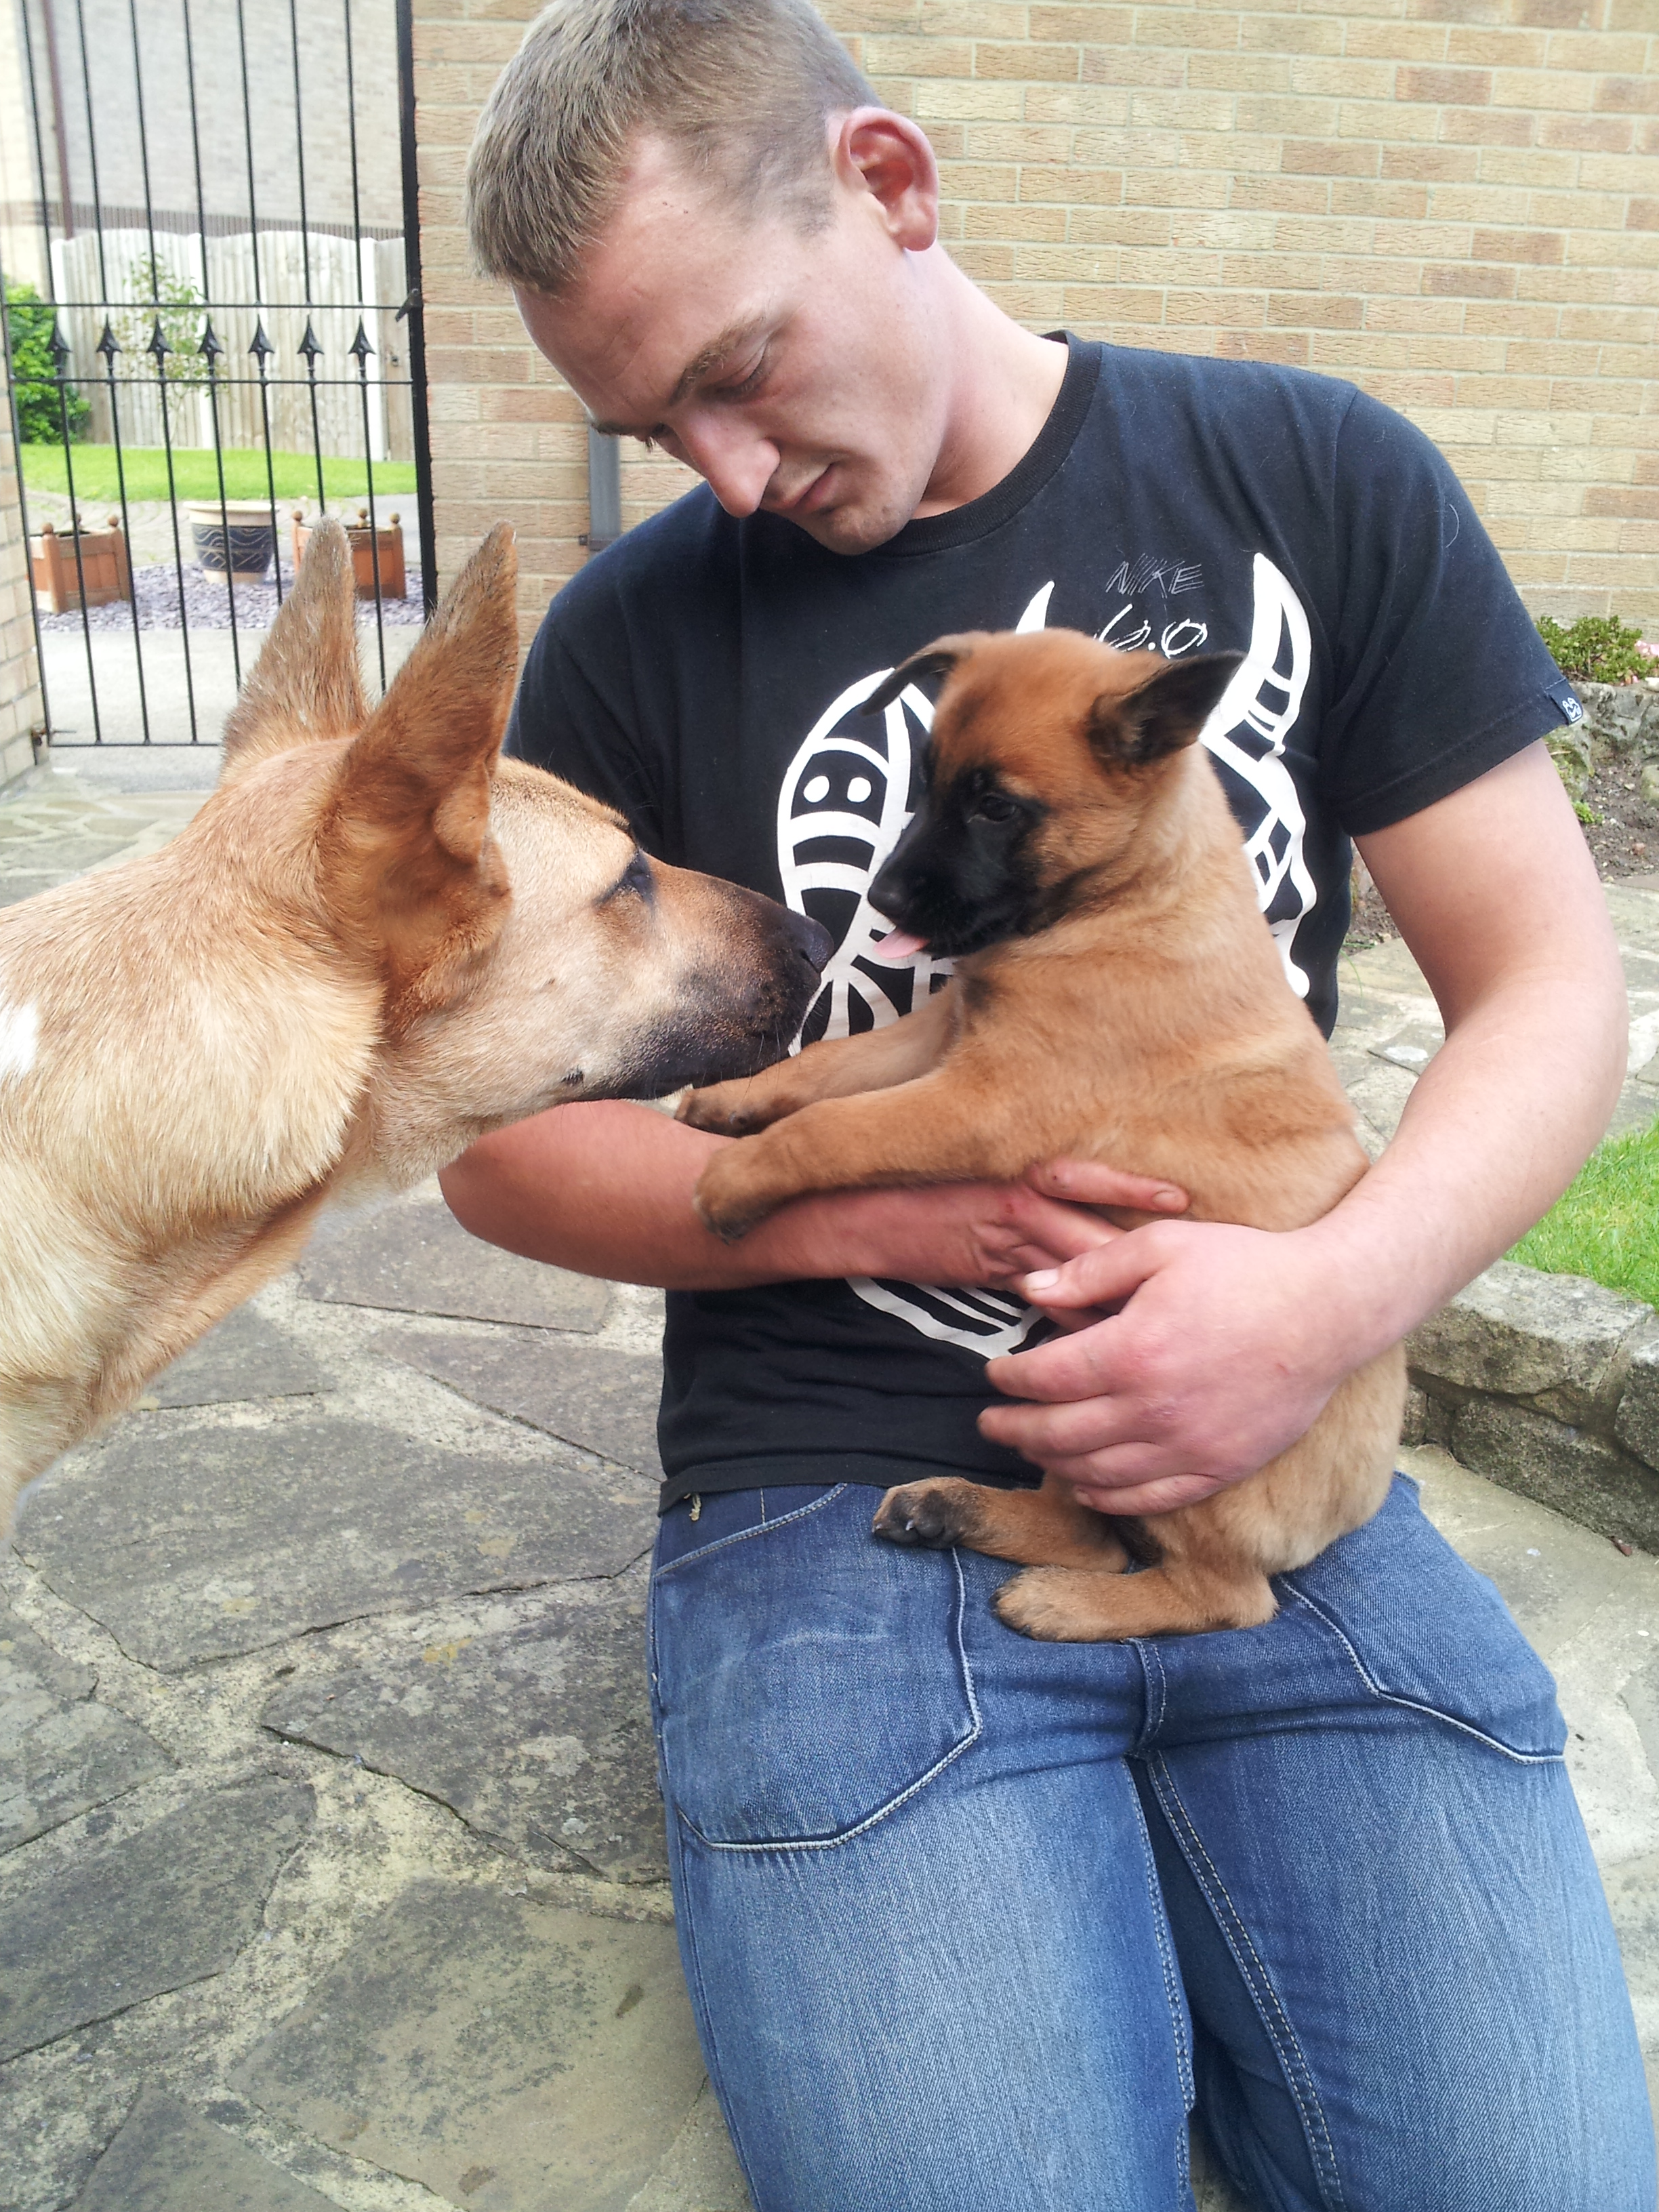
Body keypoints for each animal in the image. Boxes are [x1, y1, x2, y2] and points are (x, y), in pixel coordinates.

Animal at [679, 627, 1405, 1641]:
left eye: (997, 807)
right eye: (927, 782)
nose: (885, 899)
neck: (1130, 895)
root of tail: (1355, 1508)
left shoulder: (981, 1100)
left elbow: (830, 1127)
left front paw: (736, 1180)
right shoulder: (942, 1036)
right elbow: (825, 1072)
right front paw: (734, 1101)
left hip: (1169, 1432)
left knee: (1223, 1596)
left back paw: (1064, 1604)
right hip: (1079, 1389)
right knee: (1092, 1531)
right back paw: (953, 1511)